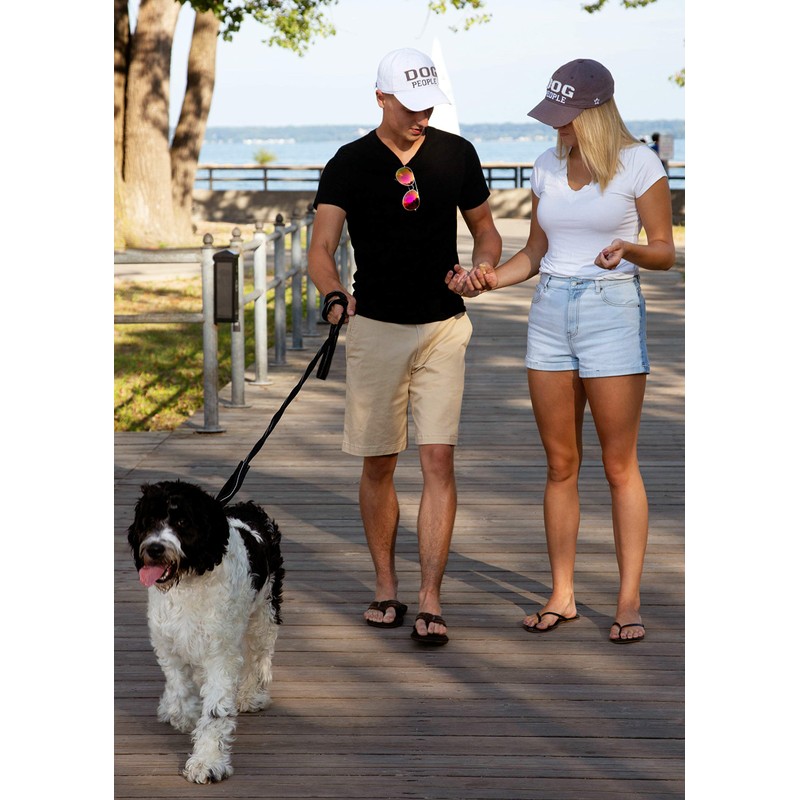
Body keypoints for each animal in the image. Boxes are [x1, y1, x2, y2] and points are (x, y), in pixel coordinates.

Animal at [127, 480, 284, 783]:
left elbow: (215, 711)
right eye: (149, 521)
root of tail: (248, 508)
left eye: (182, 522)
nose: (154, 549)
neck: (188, 580)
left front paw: (208, 762)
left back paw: (251, 695)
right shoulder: (167, 640)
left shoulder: (220, 654)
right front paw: (182, 714)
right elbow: (178, 684)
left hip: (265, 611)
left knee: (259, 655)